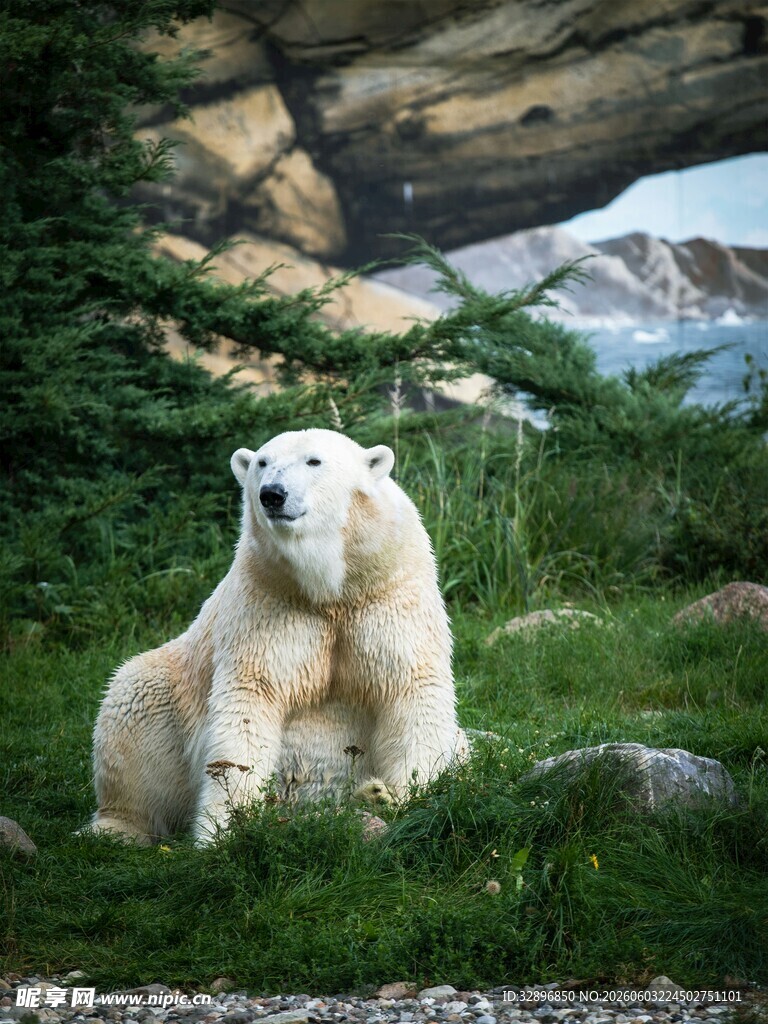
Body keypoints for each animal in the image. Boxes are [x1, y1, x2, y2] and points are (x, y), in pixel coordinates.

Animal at [88, 428, 468, 844]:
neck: (330, 590)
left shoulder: (387, 593)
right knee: (132, 710)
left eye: (314, 461)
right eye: (262, 462)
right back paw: (117, 826)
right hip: (168, 692)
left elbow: (411, 688)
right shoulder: (268, 601)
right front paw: (222, 830)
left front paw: (397, 796)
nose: (272, 494)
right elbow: (250, 699)